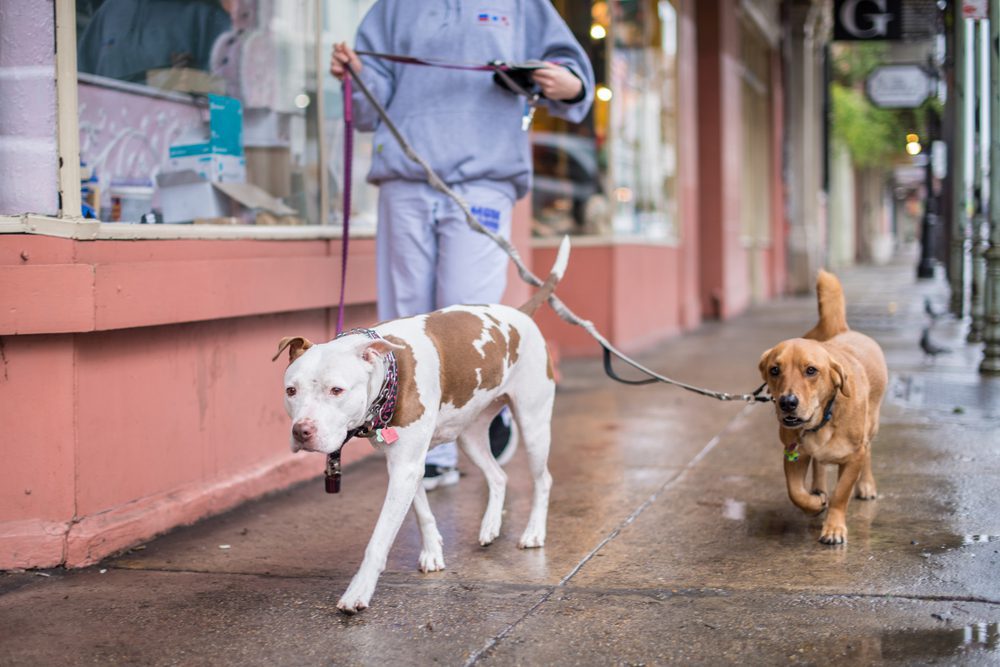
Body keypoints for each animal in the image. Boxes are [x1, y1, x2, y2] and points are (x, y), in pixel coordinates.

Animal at [274, 237, 572, 612]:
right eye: (291, 390)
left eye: (336, 390)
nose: (302, 431)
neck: (389, 371)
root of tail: (521, 313)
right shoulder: (404, 462)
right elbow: (421, 511)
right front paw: (432, 551)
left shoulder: (405, 466)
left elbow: (380, 538)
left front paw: (358, 591)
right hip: (471, 435)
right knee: (498, 475)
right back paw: (490, 526)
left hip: (533, 426)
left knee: (543, 480)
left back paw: (533, 533)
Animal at [760, 268, 888, 544]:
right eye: (775, 370)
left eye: (811, 370)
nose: (788, 402)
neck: (824, 418)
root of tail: (844, 330)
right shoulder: (794, 452)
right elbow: (795, 491)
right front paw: (814, 504)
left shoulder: (854, 457)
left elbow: (841, 495)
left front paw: (834, 528)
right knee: (819, 466)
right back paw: (818, 489)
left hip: (871, 425)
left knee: (869, 451)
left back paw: (866, 485)